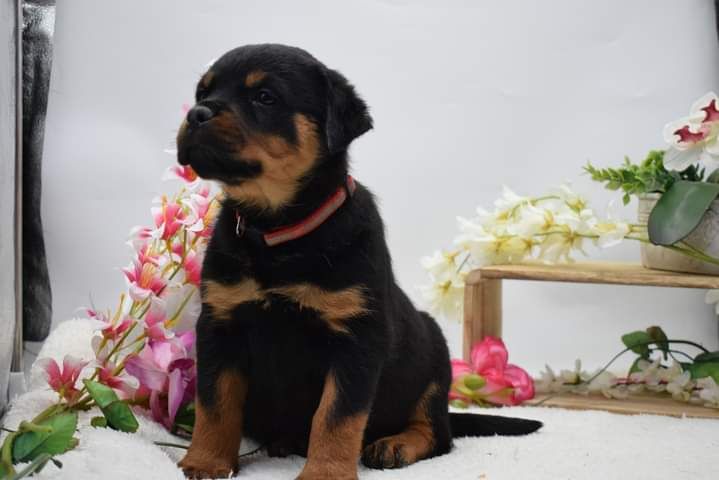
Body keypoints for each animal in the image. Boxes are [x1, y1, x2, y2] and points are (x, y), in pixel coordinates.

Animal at [175, 44, 541, 479]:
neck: (278, 230)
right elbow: (215, 403)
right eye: (202, 92)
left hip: (434, 362)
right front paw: (206, 461)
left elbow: (336, 415)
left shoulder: (357, 337)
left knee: (438, 434)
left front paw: (325, 472)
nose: (196, 113)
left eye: (265, 97)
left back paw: (395, 444)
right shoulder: (220, 323)